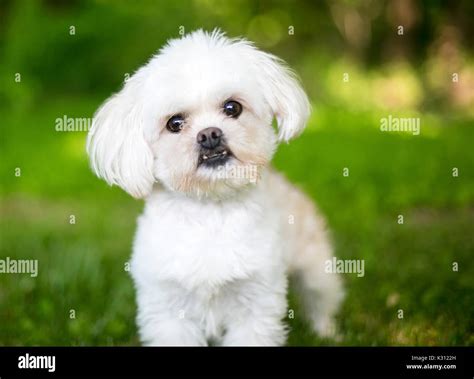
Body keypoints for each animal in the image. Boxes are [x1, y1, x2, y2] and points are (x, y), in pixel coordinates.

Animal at [87, 29, 342, 346]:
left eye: (232, 107)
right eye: (174, 123)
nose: (209, 134)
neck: (210, 210)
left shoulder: (256, 304)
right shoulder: (169, 310)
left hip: (316, 270)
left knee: (321, 300)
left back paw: (327, 332)